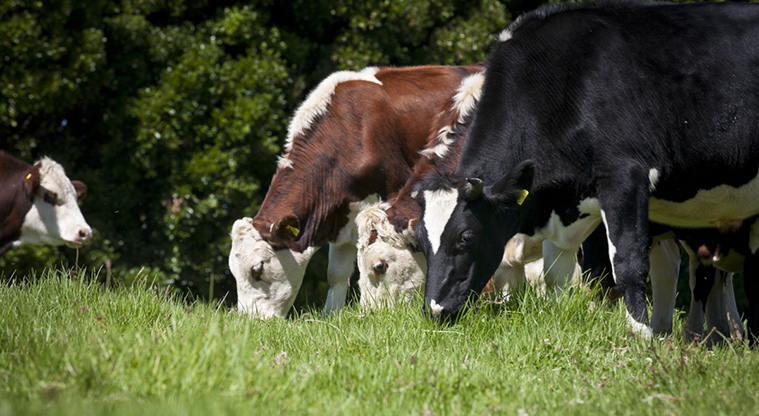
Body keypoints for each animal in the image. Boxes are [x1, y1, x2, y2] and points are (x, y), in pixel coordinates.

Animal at [228, 64, 486, 318]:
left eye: (257, 269)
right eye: (233, 272)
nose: (249, 319)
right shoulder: (339, 218)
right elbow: (336, 274)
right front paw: (330, 316)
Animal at [413, 2, 759, 337]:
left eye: (466, 237)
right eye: (420, 241)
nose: (434, 310)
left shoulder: (625, 178)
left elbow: (627, 264)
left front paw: (640, 335)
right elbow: (556, 275)